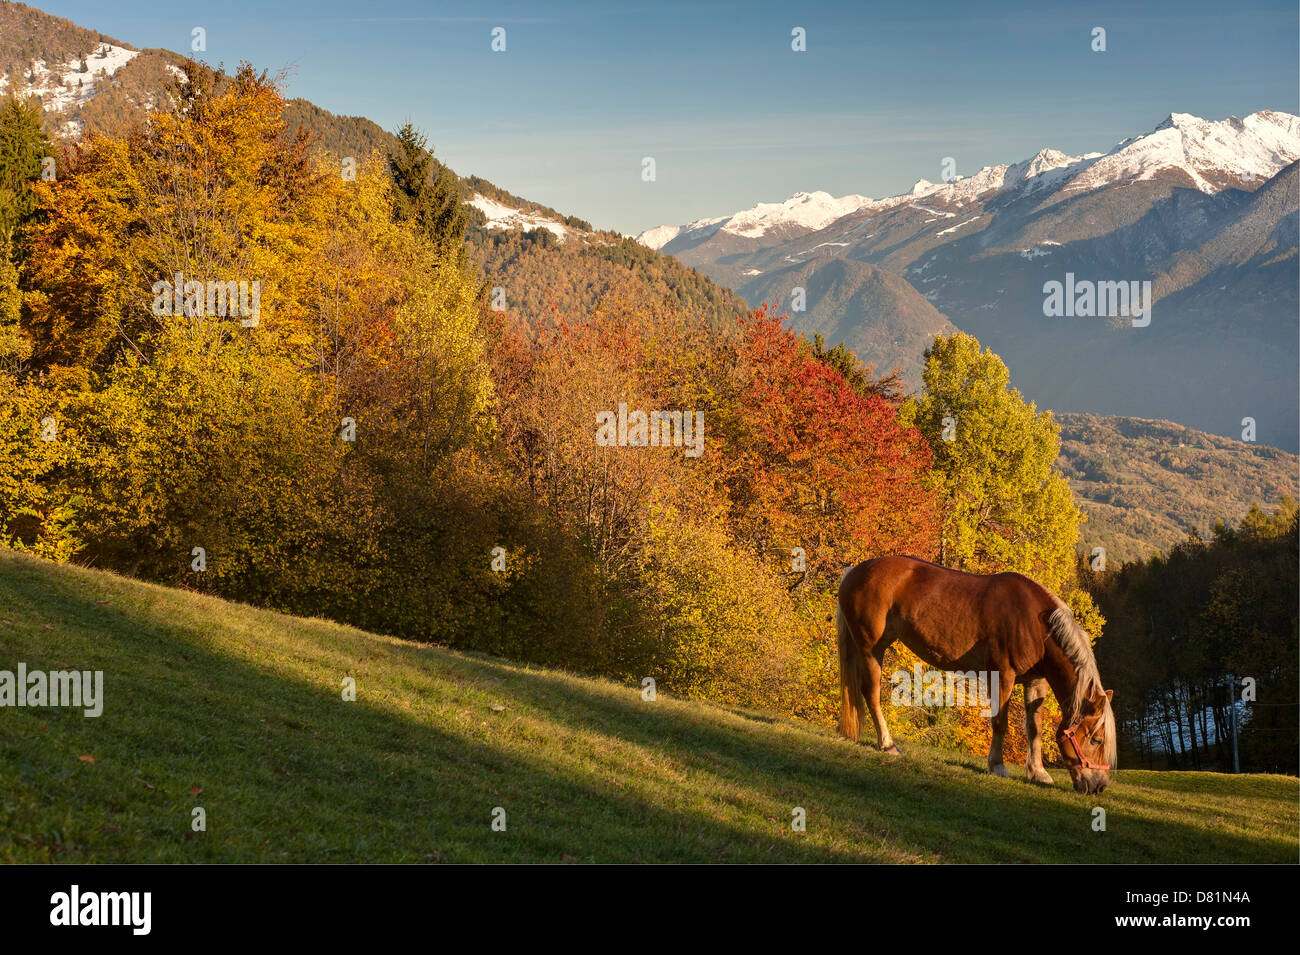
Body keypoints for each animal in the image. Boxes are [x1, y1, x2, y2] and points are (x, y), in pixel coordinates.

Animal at [842, 553, 1118, 789]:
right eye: (1096, 740)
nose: (1098, 786)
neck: (1034, 622)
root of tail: (855, 571)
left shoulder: (1036, 681)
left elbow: (1034, 727)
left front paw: (1038, 772)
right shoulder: (1003, 675)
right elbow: (999, 722)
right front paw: (997, 766)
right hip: (872, 650)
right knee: (871, 694)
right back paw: (887, 745)